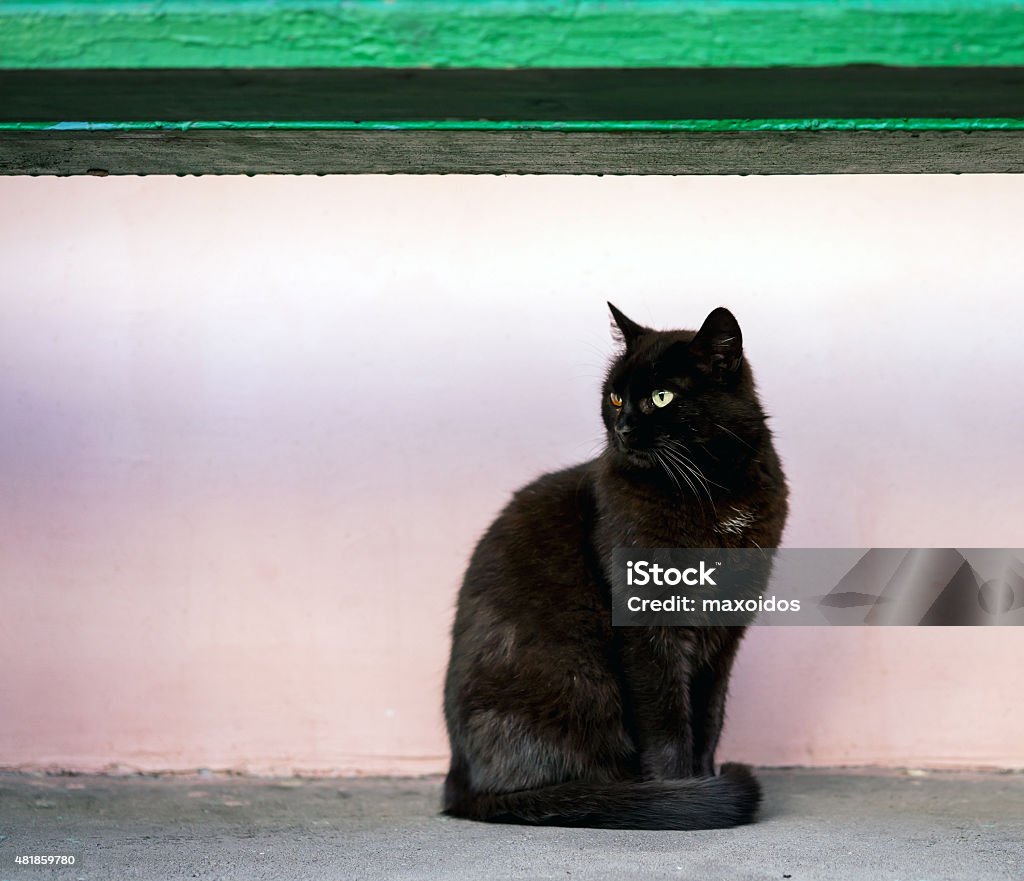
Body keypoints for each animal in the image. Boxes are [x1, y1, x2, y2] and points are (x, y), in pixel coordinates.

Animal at [444, 303, 786, 827]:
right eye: (616, 396)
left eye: (662, 397)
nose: (622, 429)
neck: (711, 492)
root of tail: (458, 787)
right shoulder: (648, 626)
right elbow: (667, 726)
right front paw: (682, 794)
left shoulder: (725, 633)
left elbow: (709, 717)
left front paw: (702, 779)